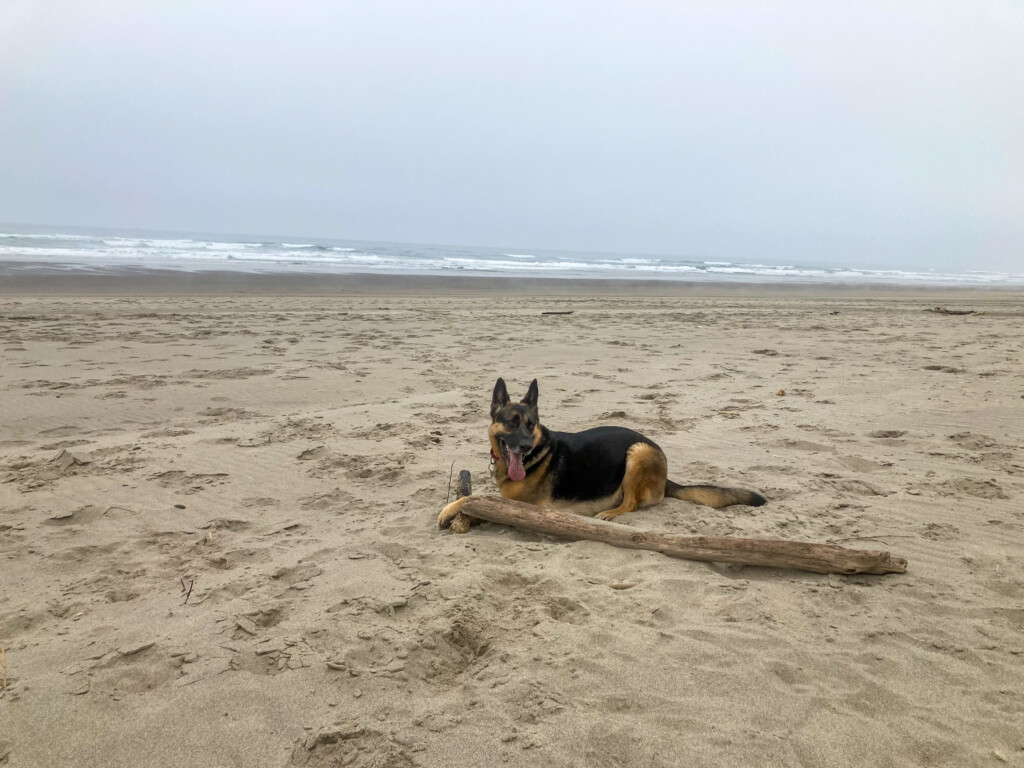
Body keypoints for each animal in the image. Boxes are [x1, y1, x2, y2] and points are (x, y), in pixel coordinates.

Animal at [436, 376, 765, 532]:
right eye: (512, 423)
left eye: (532, 425)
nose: (526, 446)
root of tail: (666, 476)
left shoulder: (520, 505)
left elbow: (474, 498)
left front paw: (449, 510)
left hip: (637, 453)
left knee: (631, 503)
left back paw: (609, 513)